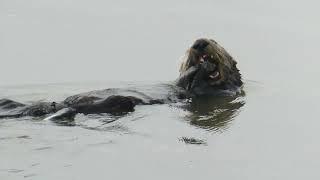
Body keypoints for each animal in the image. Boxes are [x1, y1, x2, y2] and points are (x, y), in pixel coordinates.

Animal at [0, 38, 242, 121]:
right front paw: (194, 67)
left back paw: (59, 113)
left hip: (117, 103)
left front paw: (204, 67)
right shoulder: (181, 83)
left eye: (215, 41)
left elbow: (200, 86)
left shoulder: (216, 91)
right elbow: (181, 80)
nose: (200, 42)